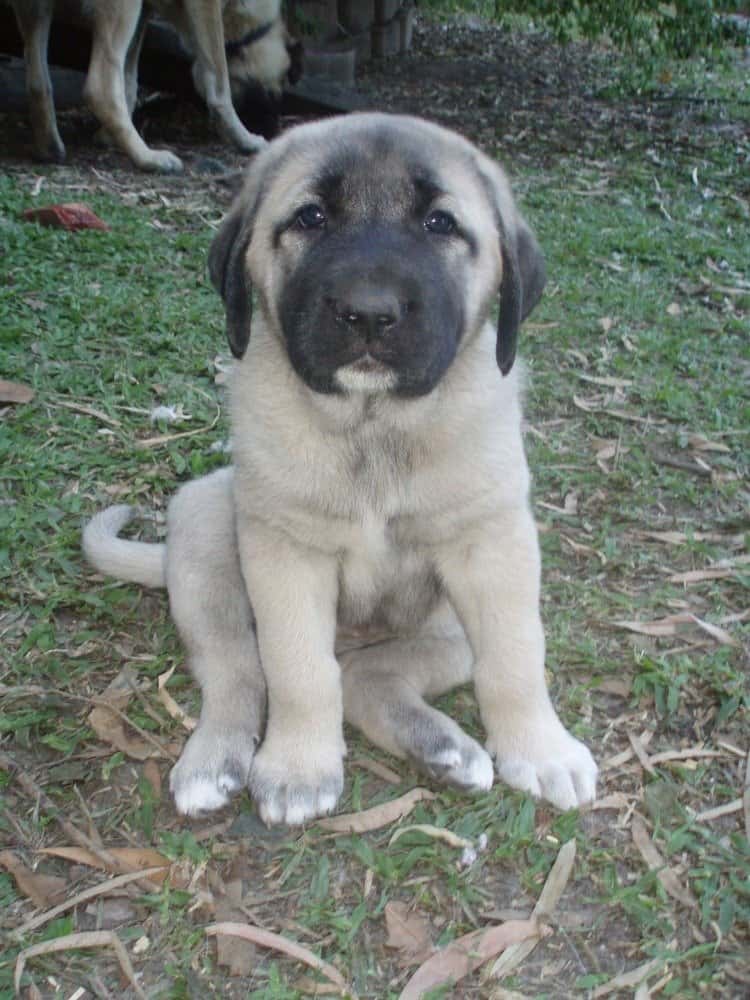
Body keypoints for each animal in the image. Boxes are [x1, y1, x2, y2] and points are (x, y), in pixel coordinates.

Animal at [8, 0, 290, 171]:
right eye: (271, 95)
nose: (276, 129)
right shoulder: (205, 9)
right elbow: (218, 80)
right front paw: (244, 139)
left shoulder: (145, 12)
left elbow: (130, 80)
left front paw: (107, 136)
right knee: (99, 87)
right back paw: (147, 157)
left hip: (35, 12)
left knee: (37, 80)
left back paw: (49, 146)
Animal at [82, 113, 600, 824]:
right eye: (312, 216)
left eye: (440, 223)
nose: (370, 311)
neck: (372, 424)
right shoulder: (285, 554)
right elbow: (299, 669)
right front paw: (299, 768)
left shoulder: (494, 547)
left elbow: (517, 656)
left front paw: (541, 749)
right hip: (207, 529)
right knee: (239, 673)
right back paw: (214, 763)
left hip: (445, 628)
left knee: (366, 674)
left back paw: (445, 751)